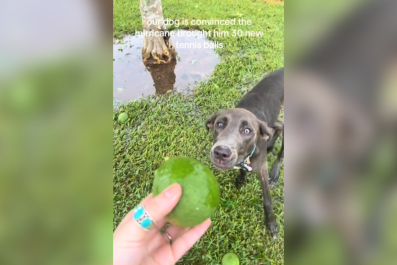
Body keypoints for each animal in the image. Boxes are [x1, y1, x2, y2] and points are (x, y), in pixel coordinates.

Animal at [206, 68, 284, 237]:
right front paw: (241, 178)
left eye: (247, 131)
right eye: (219, 124)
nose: (221, 153)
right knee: (279, 126)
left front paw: (271, 224)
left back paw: (275, 172)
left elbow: (267, 200)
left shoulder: (261, 169)